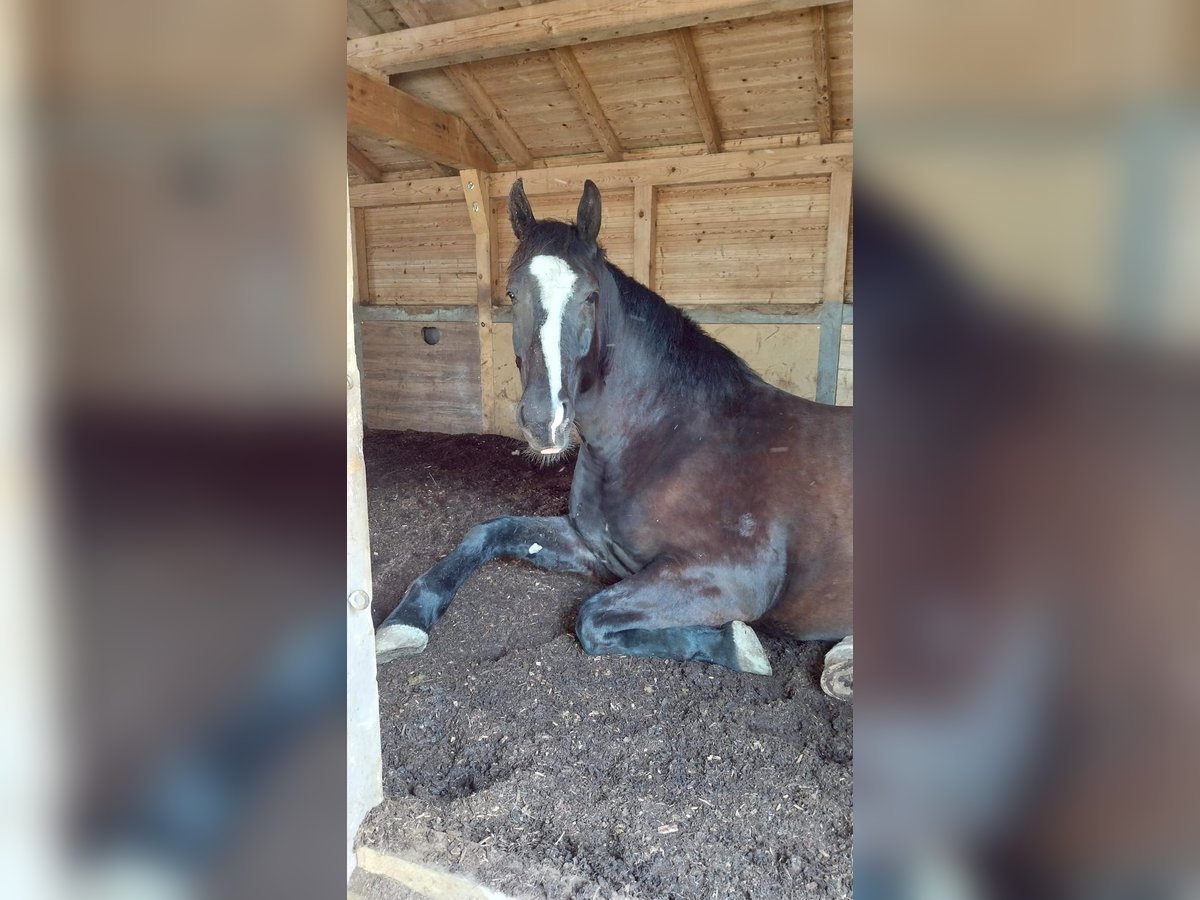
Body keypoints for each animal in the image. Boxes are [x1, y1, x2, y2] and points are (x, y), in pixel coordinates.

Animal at [374, 181, 854, 691]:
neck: (665, 438)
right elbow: (487, 531)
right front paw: (406, 620)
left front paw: (738, 646)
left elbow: (589, 617)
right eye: (511, 292)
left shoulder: (729, 578)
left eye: (590, 295)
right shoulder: (594, 547)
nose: (544, 420)